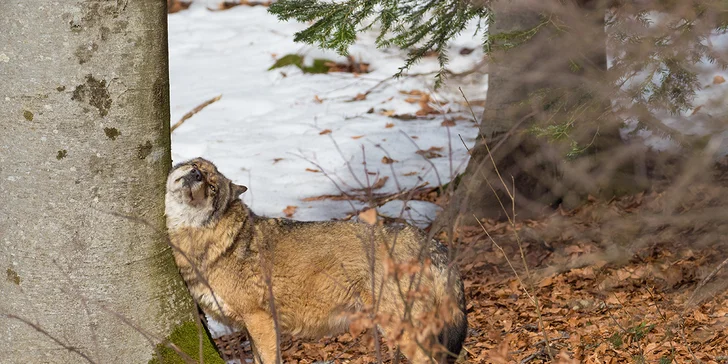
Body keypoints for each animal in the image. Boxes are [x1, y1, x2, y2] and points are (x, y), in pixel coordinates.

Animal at [165, 158, 470, 362]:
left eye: (212, 187)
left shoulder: (262, 322)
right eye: (196, 165)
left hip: (402, 330)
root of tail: (428, 240)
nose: (195, 173)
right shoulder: (251, 328)